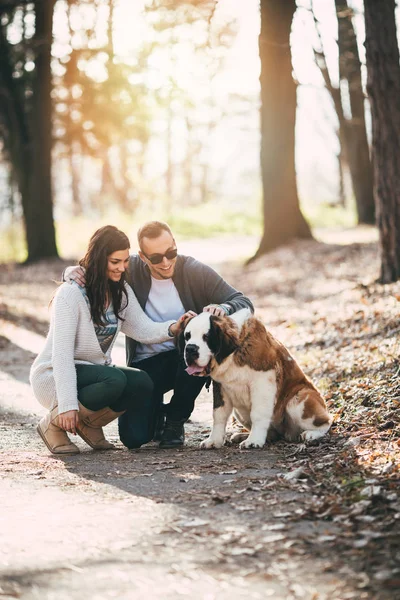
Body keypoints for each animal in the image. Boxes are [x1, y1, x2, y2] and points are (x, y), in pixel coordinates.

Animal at [180, 308, 332, 448]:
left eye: (206, 337)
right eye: (187, 336)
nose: (190, 349)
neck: (233, 352)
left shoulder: (262, 382)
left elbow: (258, 414)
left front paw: (254, 441)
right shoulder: (220, 386)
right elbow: (219, 414)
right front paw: (214, 441)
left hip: (299, 399)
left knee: (326, 422)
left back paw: (311, 434)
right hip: (239, 412)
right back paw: (242, 435)